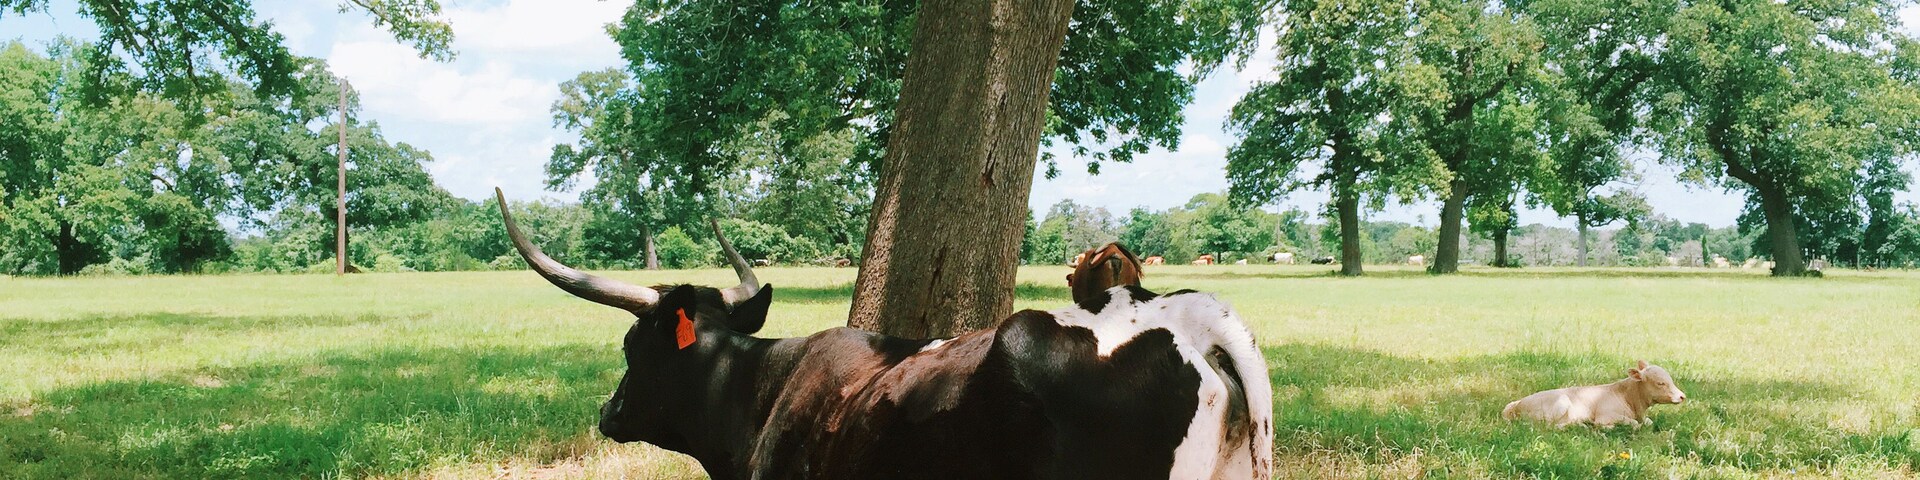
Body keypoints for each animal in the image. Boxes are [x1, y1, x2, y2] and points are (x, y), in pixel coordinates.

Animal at [1503, 360, 1687, 429]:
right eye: (1660, 383)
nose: (1682, 396)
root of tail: (1516, 405)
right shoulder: (1606, 416)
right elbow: (1634, 424)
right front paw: (1607, 428)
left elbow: (1648, 423)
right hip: (1560, 404)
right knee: (1550, 427)